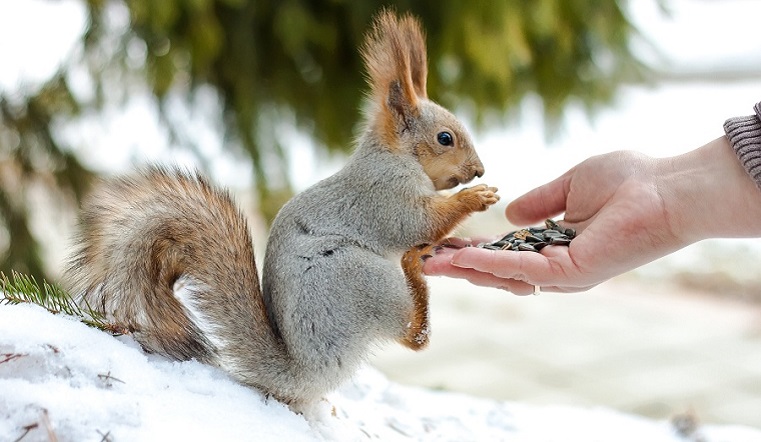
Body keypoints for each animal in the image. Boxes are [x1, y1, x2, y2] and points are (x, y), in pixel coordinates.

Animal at [65, 10, 498, 406]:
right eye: (445, 138)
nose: (478, 170)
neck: (395, 157)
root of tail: (302, 372)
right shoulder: (381, 196)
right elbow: (418, 222)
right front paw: (476, 197)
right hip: (358, 278)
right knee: (415, 336)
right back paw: (413, 272)